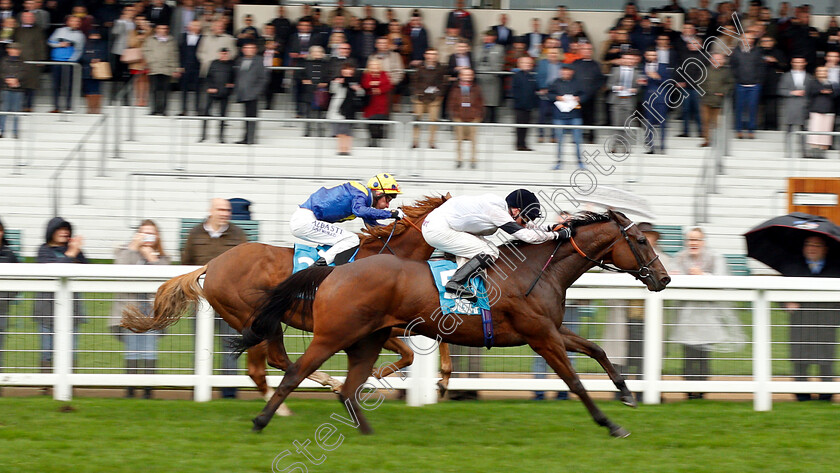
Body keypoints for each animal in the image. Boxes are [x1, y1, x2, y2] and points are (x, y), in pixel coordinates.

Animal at [233, 208, 668, 436]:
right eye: (641, 242)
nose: (663, 279)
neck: (536, 270)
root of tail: (332, 270)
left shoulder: (551, 329)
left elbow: (597, 349)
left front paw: (626, 394)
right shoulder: (541, 336)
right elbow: (575, 381)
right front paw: (609, 423)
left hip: (367, 339)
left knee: (349, 389)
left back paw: (367, 433)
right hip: (334, 334)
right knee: (296, 372)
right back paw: (260, 420)